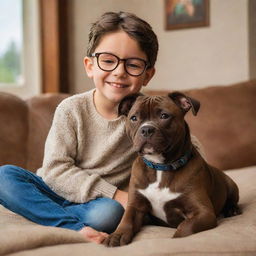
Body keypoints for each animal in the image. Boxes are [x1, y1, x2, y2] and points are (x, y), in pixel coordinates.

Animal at [103, 92, 240, 246]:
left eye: (164, 116)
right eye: (134, 118)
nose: (146, 129)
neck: (160, 168)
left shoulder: (204, 213)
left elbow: (185, 228)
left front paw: (177, 238)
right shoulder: (135, 206)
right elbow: (126, 220)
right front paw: (117, 235)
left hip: (231, 185)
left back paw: (232, 210)